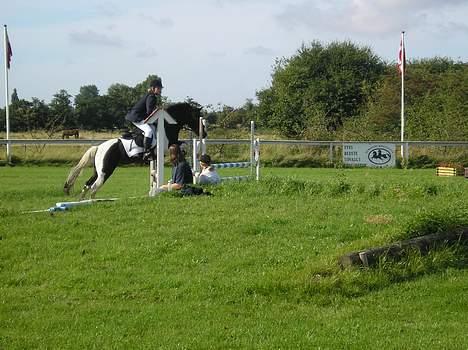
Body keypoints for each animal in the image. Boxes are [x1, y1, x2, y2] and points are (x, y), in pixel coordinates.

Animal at [63, 102, 206, 198]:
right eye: (195, 117)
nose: (204, 134)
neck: (166, 126)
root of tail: (99, 147)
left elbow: (183, 144)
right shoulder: (166, 147)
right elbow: (182, 145)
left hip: (98, 170)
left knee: (88, 184)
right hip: (106, 170)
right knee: (94, 186)